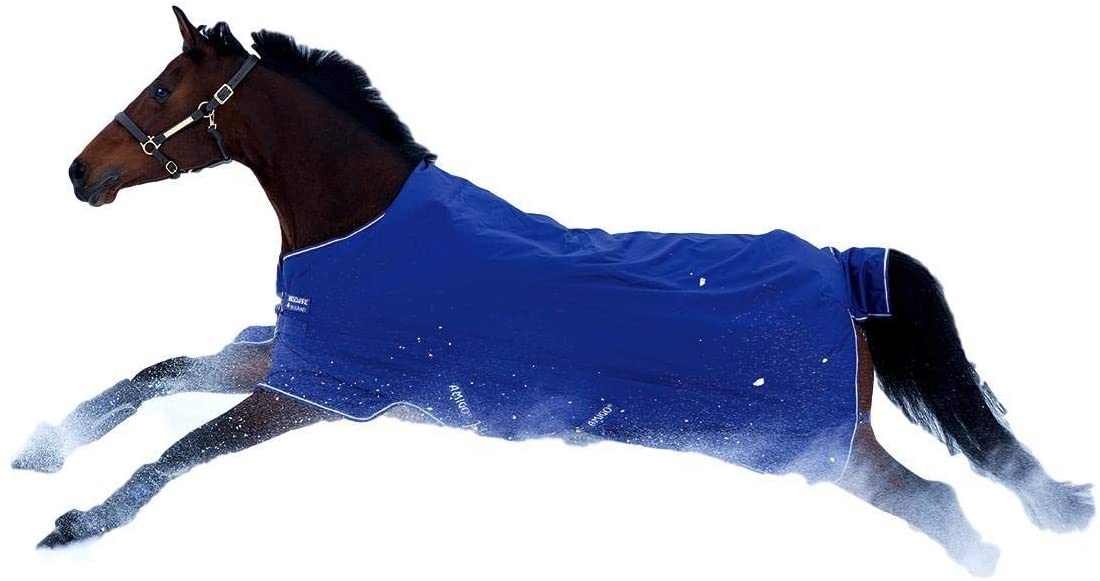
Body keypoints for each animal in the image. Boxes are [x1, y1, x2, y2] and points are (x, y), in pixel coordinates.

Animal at [14, 7, 1092, 575]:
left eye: (163, 89)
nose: (79, 172)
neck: (361, 225)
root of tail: (845, 266)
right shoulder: (303, 358)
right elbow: (158, 372)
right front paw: (43, 446)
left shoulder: (318, 391)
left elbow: (183, 445)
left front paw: (77, 524)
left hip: (828, 451)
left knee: (940, 505)